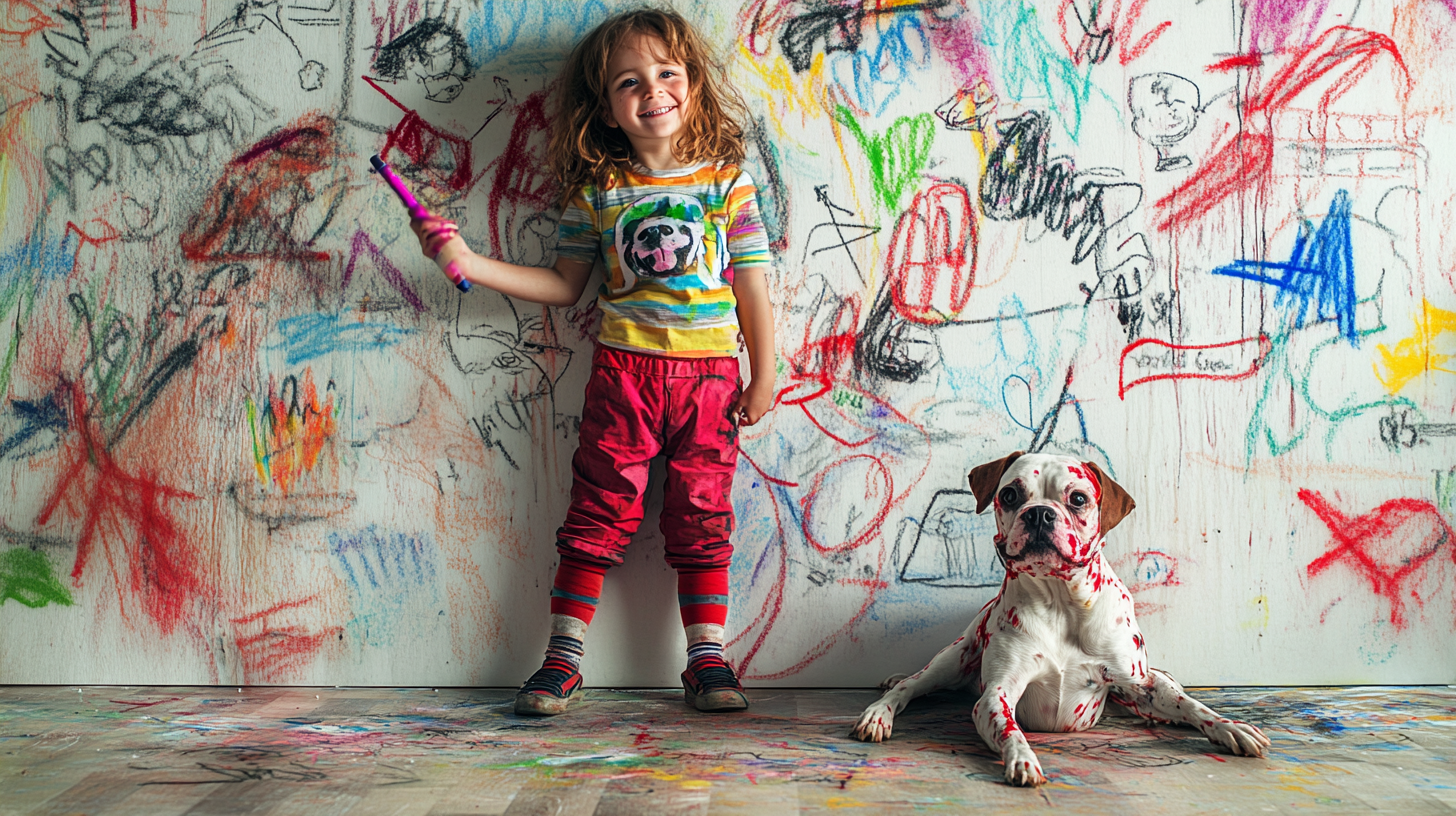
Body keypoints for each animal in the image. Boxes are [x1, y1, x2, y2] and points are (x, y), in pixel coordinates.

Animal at [850, 451, 1269, 786]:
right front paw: (1022, 758)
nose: (1038, 514)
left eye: (1078, 498)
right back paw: (878, 714)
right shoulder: (997, 695)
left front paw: (1230, 727)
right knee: (907, 686)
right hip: (951, 660)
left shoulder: (1141, 680)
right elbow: (1012, 730)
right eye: (1010, 494)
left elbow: (1194, 707)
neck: (1062, 604)